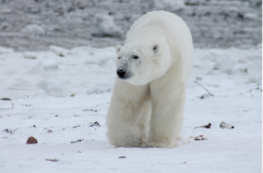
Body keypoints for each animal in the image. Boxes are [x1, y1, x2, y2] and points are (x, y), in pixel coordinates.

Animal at [106, 10, 194, 148]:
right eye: (119, 57)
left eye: (135, 56)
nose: (121, 71)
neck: (152, 31)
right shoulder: (133, 82)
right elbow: (127, 101)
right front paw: (133, 139)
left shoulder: (170, 69)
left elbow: (167, 99)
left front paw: (158, 143)